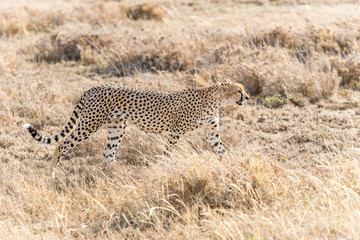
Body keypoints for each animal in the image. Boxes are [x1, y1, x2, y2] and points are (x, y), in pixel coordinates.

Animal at [21, 79, 248, 180]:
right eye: (239, 90)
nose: (247, 97)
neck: (216, 99)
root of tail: (94, 87)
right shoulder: (175, 131)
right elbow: (168, 152)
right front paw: (164, 166)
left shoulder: (211, 131)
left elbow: (222, 150)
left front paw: (233, 166)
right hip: (89, 123)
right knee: (62, 144)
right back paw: (52, 175)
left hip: (116, 127)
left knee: (108, 153)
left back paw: (115, 175)